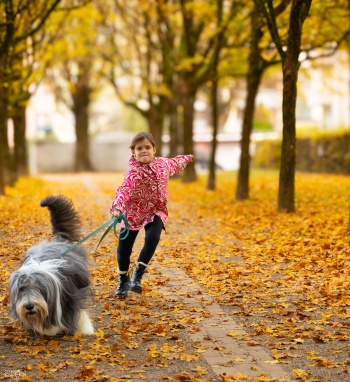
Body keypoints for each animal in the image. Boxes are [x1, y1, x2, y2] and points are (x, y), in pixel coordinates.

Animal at [9, 195, 94, 336]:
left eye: (39, 288)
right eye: (21, 289)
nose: (29, 306)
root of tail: (58, 240)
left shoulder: (71, 295)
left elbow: (78, 310)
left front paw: (85, 328)